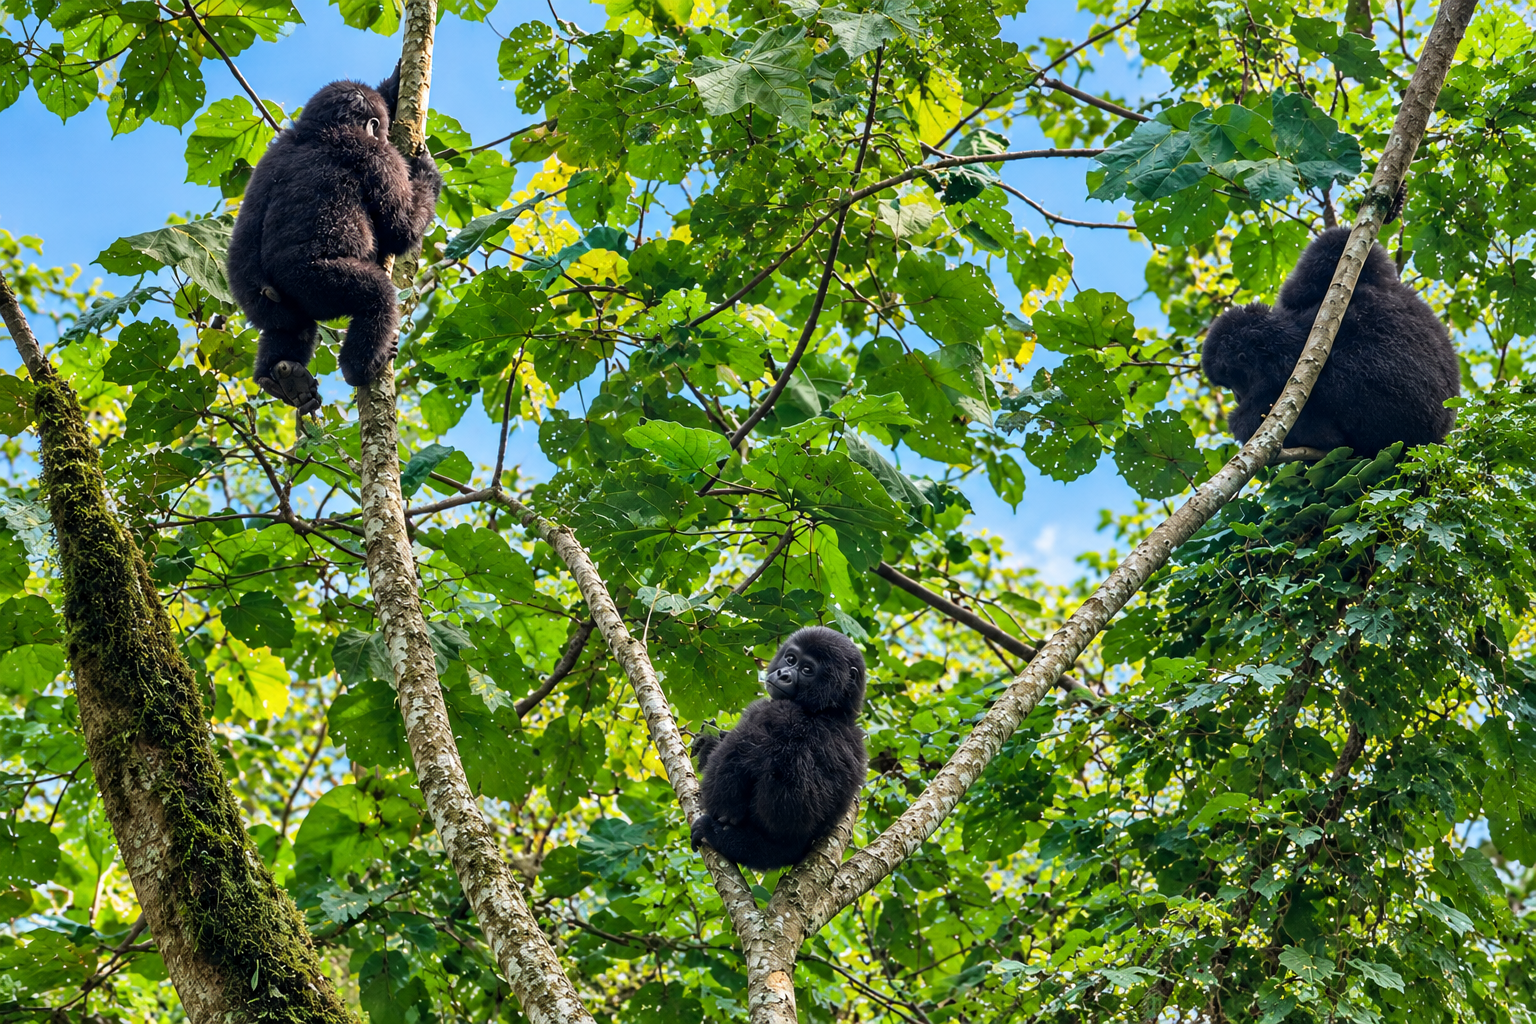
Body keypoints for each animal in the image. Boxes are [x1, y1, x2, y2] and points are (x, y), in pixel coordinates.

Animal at [227, 65, 441, 414]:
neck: (319, 129)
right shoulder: (378, 155)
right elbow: (400, 228)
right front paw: (427, 171)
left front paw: (396, 78)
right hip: (317, 282)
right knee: (377, 298)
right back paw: (360, 367)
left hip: (260, 301)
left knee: (289, 327)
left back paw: (281, 379)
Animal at [690, 626, 868, 871]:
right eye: (791, 659)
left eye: (807, 670)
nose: (784, 674)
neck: (830, 711)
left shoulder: (770, 710)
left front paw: (708, 746)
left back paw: (718, 834)